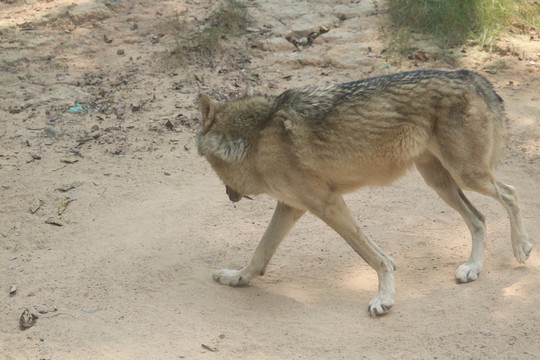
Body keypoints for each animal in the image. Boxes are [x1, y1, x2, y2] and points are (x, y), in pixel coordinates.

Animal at [195, 69, 532, 316]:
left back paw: (521, 248)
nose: (229, 195)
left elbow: (374, 256)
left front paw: (383, 297)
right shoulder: (292, 206)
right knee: (479, 219)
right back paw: (473, 268)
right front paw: (235, 278)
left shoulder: (327, 204)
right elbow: (259, 253)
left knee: (511, 193)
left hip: (467, 176)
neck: (254, 138)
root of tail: (469, 75)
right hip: (441, 183)